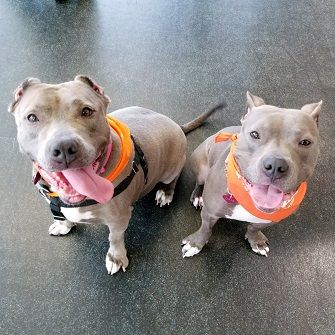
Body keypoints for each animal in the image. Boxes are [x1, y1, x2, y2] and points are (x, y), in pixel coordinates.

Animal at [8, 75, 226, 274]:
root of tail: (176, 125)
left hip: (173, 166)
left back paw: (166, 192)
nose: (64, 147)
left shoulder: (119, 219)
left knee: (174, 178)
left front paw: (116, 257)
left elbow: (114, 237)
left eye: (87, 111)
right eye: (32, 117)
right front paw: (63, 224)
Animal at [184, 92, 322, 258]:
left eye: (305, 142)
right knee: (199, 182)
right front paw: (195, 243)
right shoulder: (209, 213)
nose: (275, 165)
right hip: (202, 167)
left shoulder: (269, 220)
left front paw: (256, 240)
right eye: (255, 134)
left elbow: (254, 228)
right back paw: (198, 195)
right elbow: (205, 229)